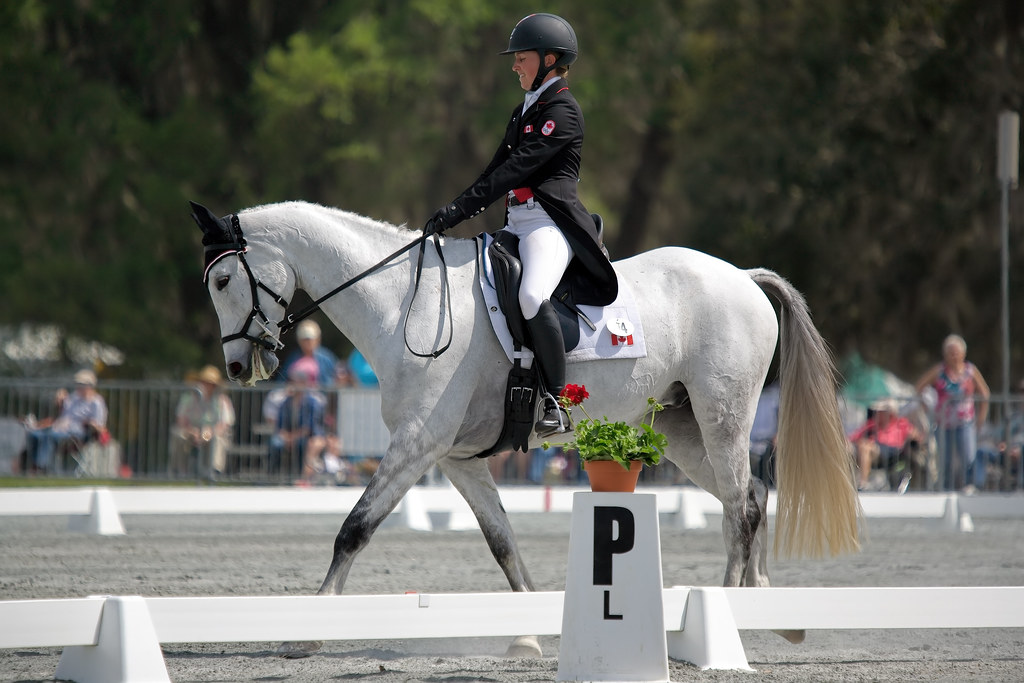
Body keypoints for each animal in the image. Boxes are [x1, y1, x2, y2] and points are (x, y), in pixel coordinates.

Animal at [192, 199, 861, 654]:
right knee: (749, 496)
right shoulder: (455, 456)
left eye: (223, 280)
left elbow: (354, 529)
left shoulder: (417, 443)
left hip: (723, 416)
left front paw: (309, 630)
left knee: (741, 509)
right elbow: (502, 541)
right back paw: (770, 613)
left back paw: (726, 612)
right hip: (683, 429)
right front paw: (528, 637)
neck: (404, 302)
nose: (238, 367)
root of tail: (742, 277)